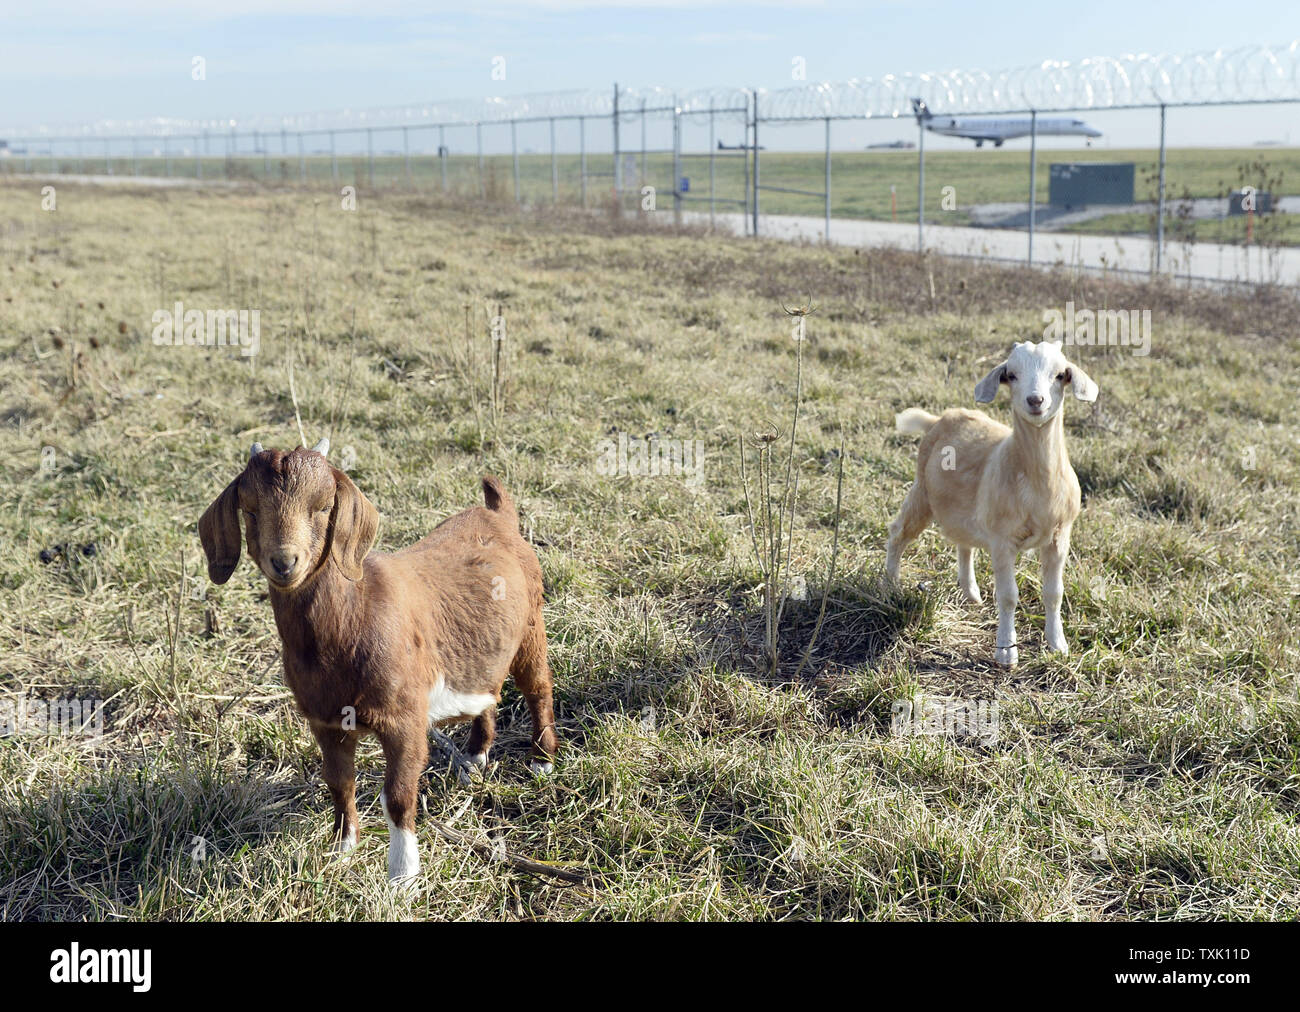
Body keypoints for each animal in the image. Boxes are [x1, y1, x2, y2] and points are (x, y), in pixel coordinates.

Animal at [200, 437, 556, 879]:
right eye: (249, 510)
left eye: (323, 507)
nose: (284, 562)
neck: (357, 611)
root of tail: (497, 515)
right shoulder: (325, 721)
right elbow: (340, 784)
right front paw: (342, 850)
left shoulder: (404, 718)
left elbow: (398, 796)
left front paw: (403, 875)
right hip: (482, 648)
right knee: (489, 689)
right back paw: (475, 755)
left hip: (531, 626)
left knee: (537, 686)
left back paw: (542, 761)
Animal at [883, 340, 1097, 671]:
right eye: (1012, 374)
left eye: (1060, 374)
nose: (1036, 400)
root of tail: (940, 418)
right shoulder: (1001, 539)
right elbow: (1008, 596)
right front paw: (1006, 652)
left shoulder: (1060, 536)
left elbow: (1054, 593)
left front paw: (1057, 645)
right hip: (922, 492)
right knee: (898, 533)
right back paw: (891, 586)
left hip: (963, 507)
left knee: (963, 542)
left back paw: (970, 592)